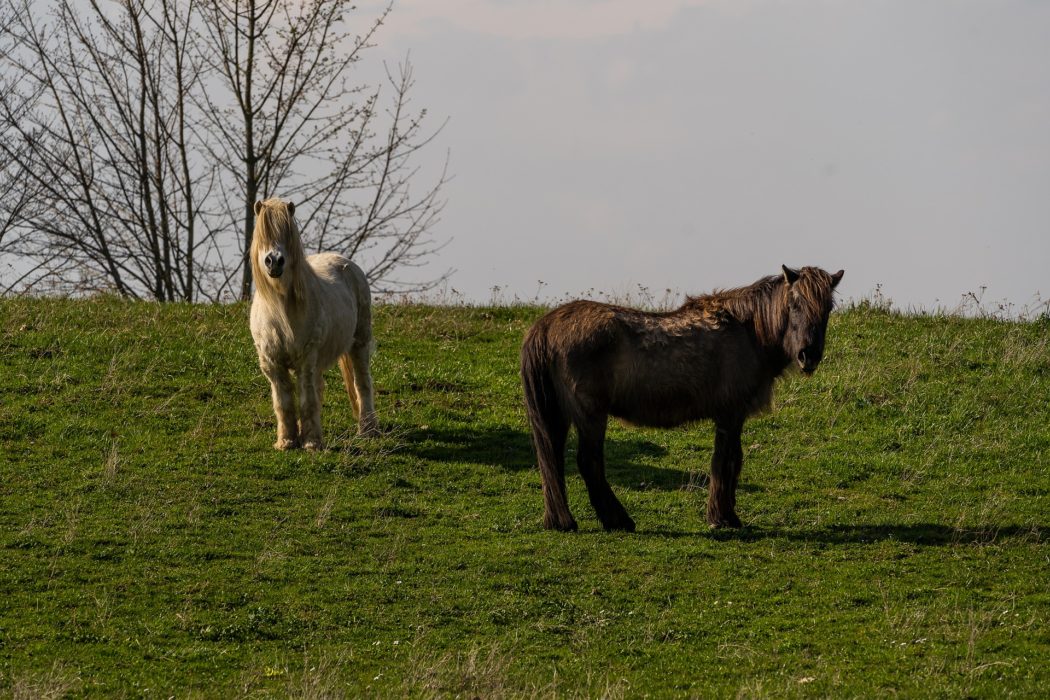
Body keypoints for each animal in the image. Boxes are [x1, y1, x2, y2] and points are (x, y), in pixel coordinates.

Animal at [249, 197, 378, 450]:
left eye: (288, 233)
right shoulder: (272, 364)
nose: (274, 261)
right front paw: (287, 441)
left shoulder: (306, 359)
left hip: (359, 343)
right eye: (264, 234)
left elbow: (307, 400)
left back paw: (368, 430)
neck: (282, 313)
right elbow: (284, 402)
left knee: (362, 384)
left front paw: (311, 443)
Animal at [521, 265, 843, 532]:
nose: (808, 355)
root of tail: (546, 326)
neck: (749, 332)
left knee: (552, 460)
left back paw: (561, 521)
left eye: (827, 307)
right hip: (590, 416)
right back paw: (618, 520)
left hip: (557, 416)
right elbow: (726, 461)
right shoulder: (730, 415)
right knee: (588, 462)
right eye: (795, 303)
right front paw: (723, 517)